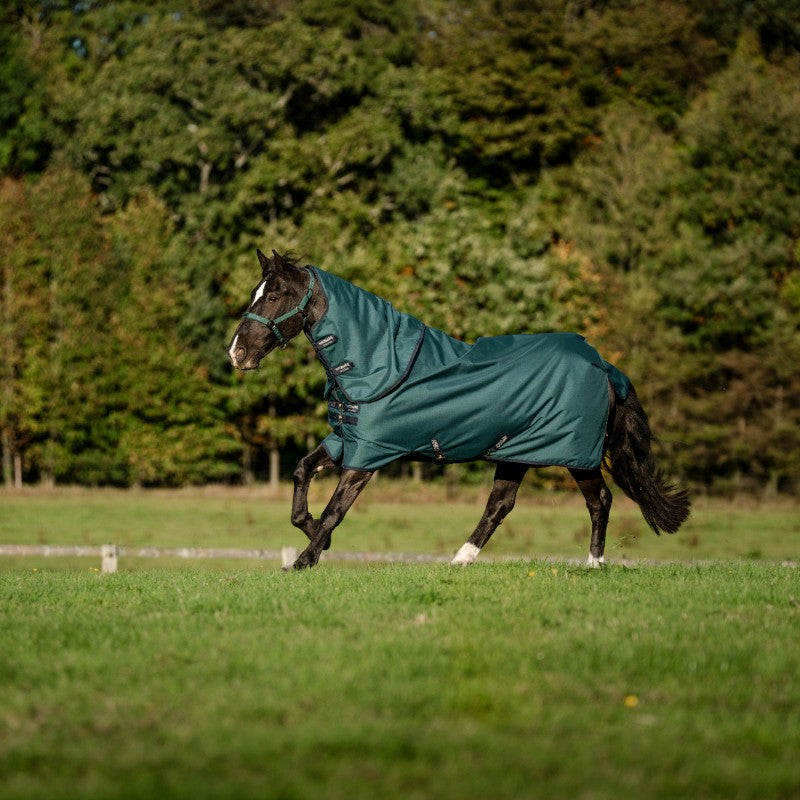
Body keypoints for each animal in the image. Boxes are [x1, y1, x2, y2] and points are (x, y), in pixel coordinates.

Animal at [228, 249, 690, 570]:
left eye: (274, 295)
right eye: (256, 293)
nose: (237, 353)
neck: (377, 362)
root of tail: (604, 365)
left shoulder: (368, 455)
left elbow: (334, 511)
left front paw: (304, 560)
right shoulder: (346, 440)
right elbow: (301, 475)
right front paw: (312, 538)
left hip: (575, 454)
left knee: (600, 501)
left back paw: (594, 564)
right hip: (516, 451)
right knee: (500, 505)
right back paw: (461, 560)